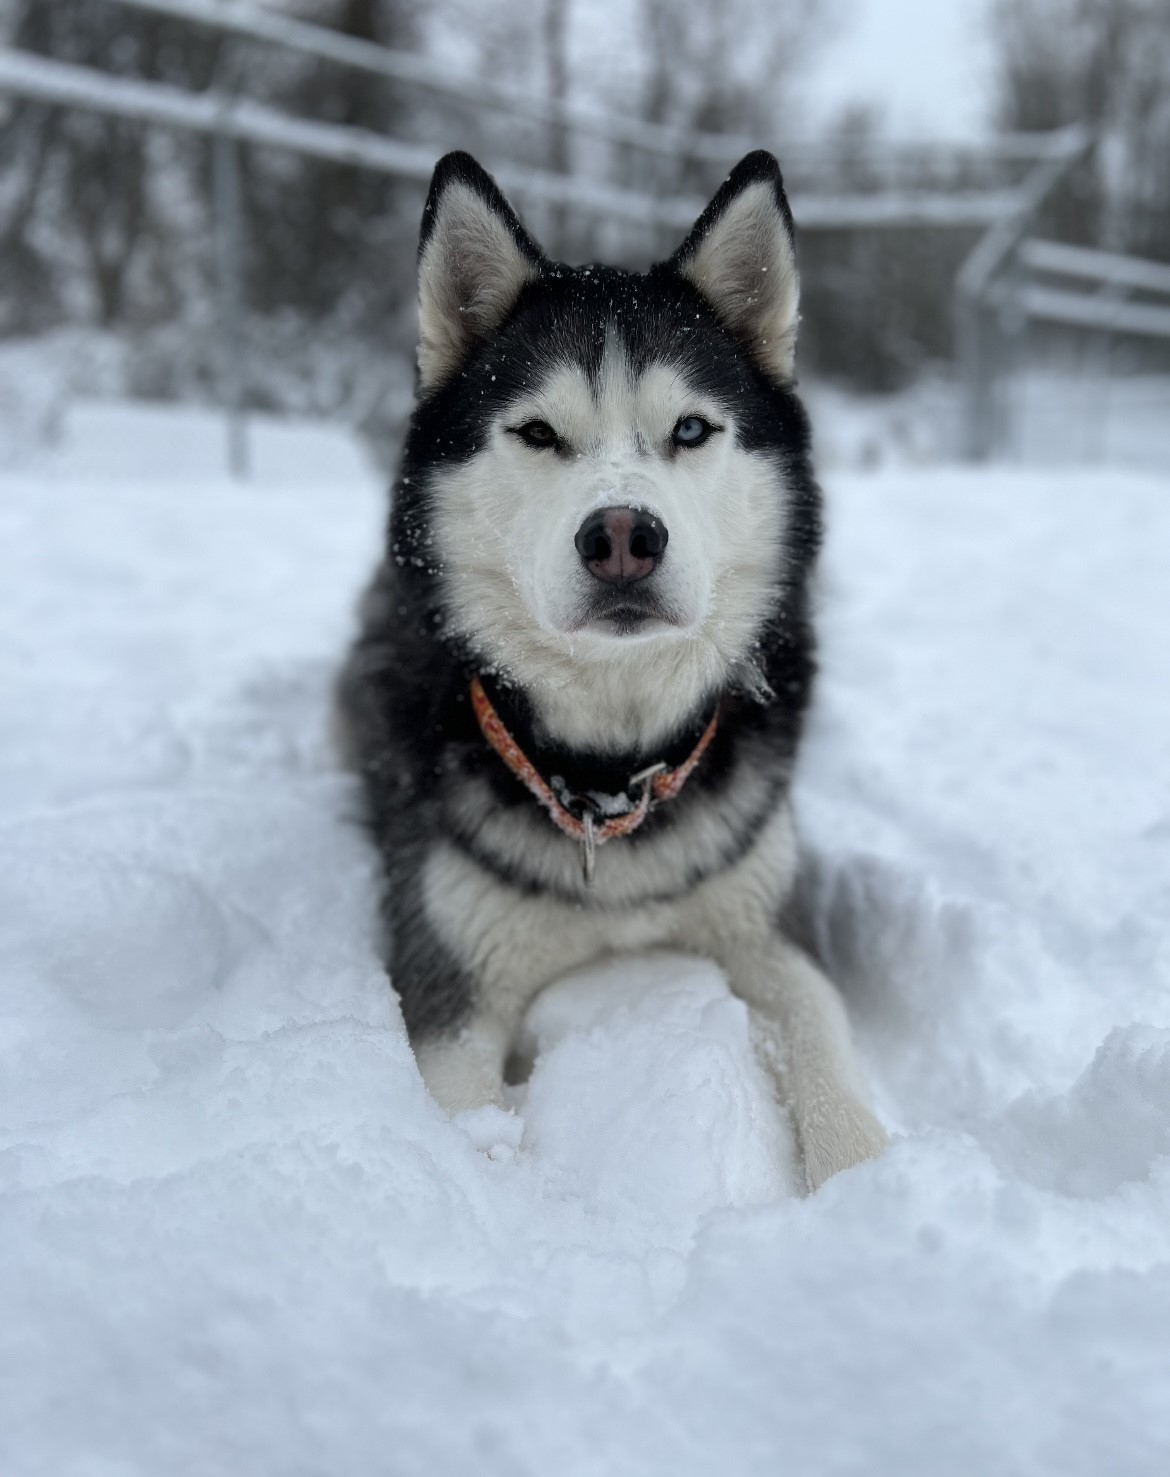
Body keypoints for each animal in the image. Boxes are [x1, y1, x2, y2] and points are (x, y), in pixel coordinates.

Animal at [338, 149, 886, 1187]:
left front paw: (866, 1188)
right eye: (538, 433)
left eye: (692, 430)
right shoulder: (450, 989)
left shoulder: (763, 919)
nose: (624, 535)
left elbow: (827, 1037)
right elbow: (473, 1137)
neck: (609, 774)